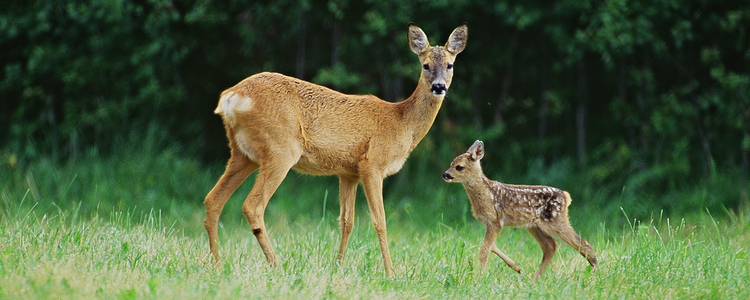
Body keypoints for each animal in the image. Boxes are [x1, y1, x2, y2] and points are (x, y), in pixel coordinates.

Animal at [206, 22, 470, 276]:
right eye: (425, 65)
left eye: (450, 65)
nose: (439, 87)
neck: (400, 122)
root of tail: (230, 97)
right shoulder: (372, 164)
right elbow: (380, 220)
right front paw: (391, 273)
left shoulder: (348, 172)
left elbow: (346, 221)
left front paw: (339, 266)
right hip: (281, 149)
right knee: (252, 205)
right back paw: (277, 266)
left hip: (243, 154)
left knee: (213, 200)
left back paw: (217, 266)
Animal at [444, 141, 596, 282]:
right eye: (451, 163)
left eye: (459, 167)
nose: (445, 174)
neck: (487, 193)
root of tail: (566, 196)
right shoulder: (491, 223)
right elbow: (492, 246)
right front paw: (516, 267)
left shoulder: (495, 220)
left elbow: (484, 251)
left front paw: (479, 279)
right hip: (533, 225)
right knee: (550, 245)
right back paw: (535, 280)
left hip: (556, 219)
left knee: (583, 244)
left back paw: (593, 277)